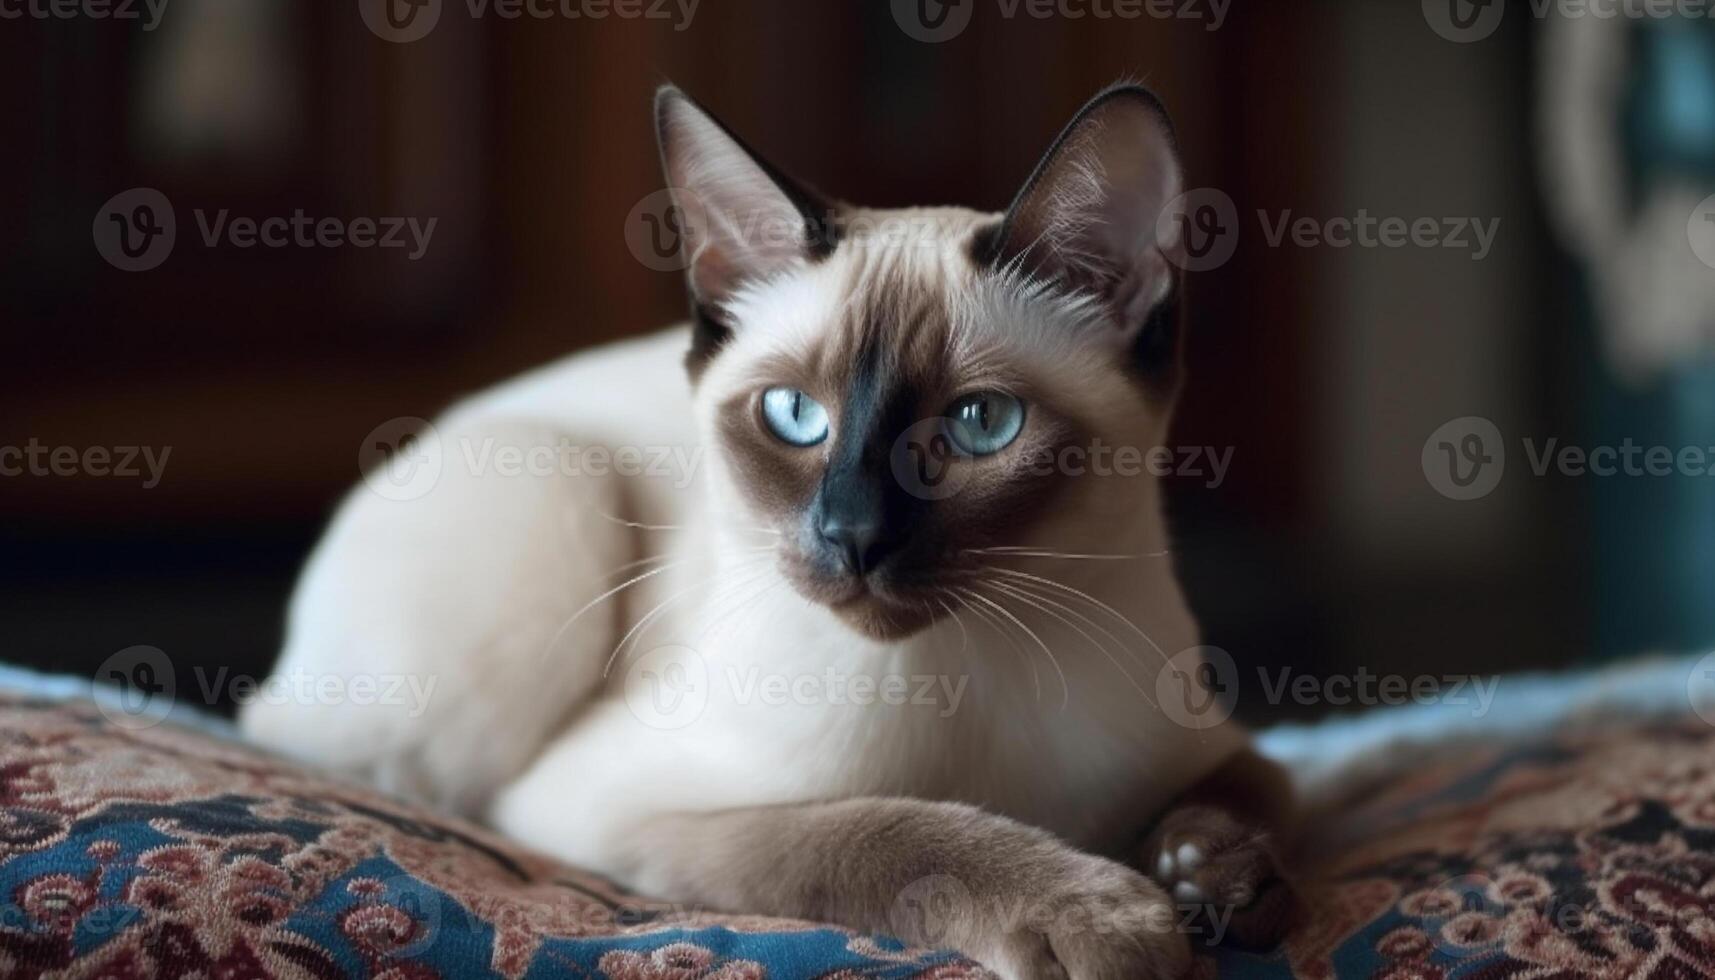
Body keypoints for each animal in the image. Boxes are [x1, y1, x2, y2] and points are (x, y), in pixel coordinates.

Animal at [238, 86, 1289, 980]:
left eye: (980, 424)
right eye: (793, 415)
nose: (851, 536)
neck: (975, 677)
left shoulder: (1210, 741)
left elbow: (1260, 792)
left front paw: (1213, 876)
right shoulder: (626, 807)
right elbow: (888, 834)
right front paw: (1112, 917)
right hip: (547, 505)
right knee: (316, 753)